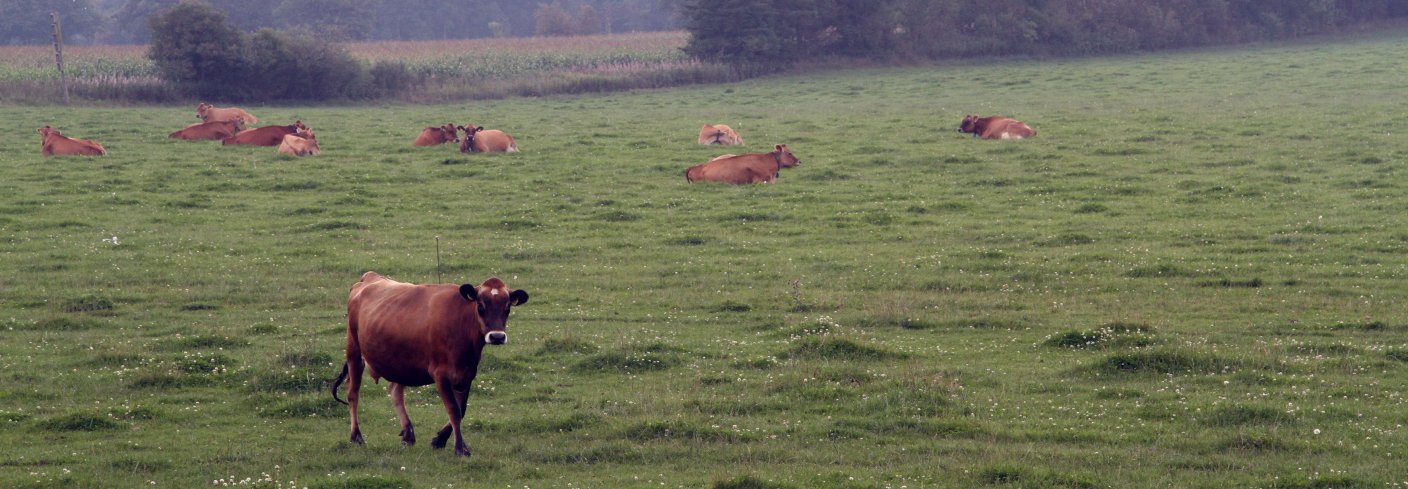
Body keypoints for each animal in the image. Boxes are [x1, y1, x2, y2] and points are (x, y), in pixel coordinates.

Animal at [329, 271, 529, 459]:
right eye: (480, 306)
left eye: (507, 307)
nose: (497, 337)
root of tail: (370, 277)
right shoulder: (441, 374)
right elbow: (454, 410)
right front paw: (459, 448)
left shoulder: (468, 374)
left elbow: (462, 409)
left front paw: (440, 440)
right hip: (354, 351)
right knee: (353, 393)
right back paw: (356, 436)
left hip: (400, 363)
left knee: (395, 392)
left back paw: (408, 433)